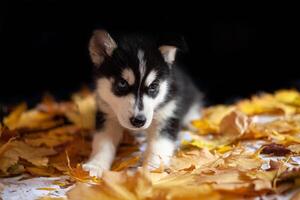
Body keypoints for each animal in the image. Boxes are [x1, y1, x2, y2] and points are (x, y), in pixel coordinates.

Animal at [83, 30, 203, 177]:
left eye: (153, 86)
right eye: (122, 83)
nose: (138, 121)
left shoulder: (168, 115)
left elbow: (159, 146)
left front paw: (151, 169)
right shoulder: (107, 114)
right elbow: (102, 143)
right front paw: (96, 165)